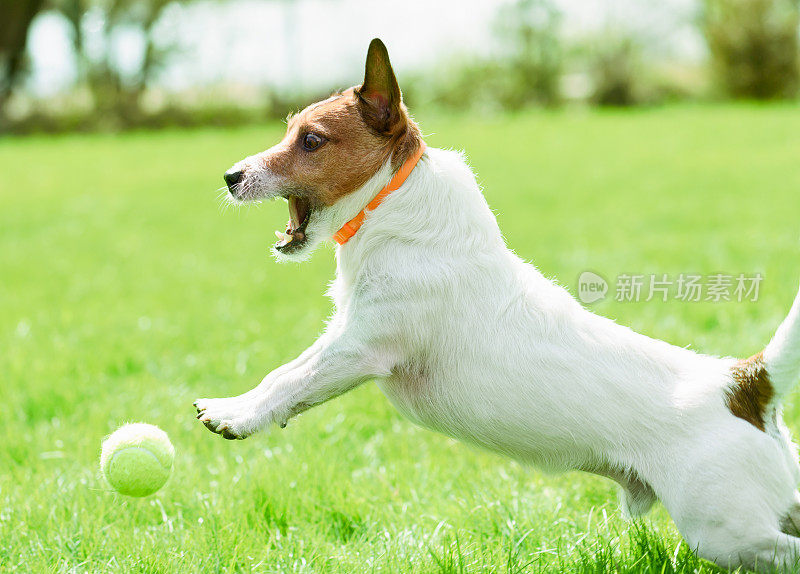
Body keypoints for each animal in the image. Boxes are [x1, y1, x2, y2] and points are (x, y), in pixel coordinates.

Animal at [194, 38, 800, 572]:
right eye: (289, 131)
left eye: (312, 141)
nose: (229, 176)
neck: (391, 203)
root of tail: (743, 383)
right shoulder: (343, 332)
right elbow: (284, 372)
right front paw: (231, 402)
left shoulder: (359, 348)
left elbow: (290, 382)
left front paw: (235, 418)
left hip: (723, 529)